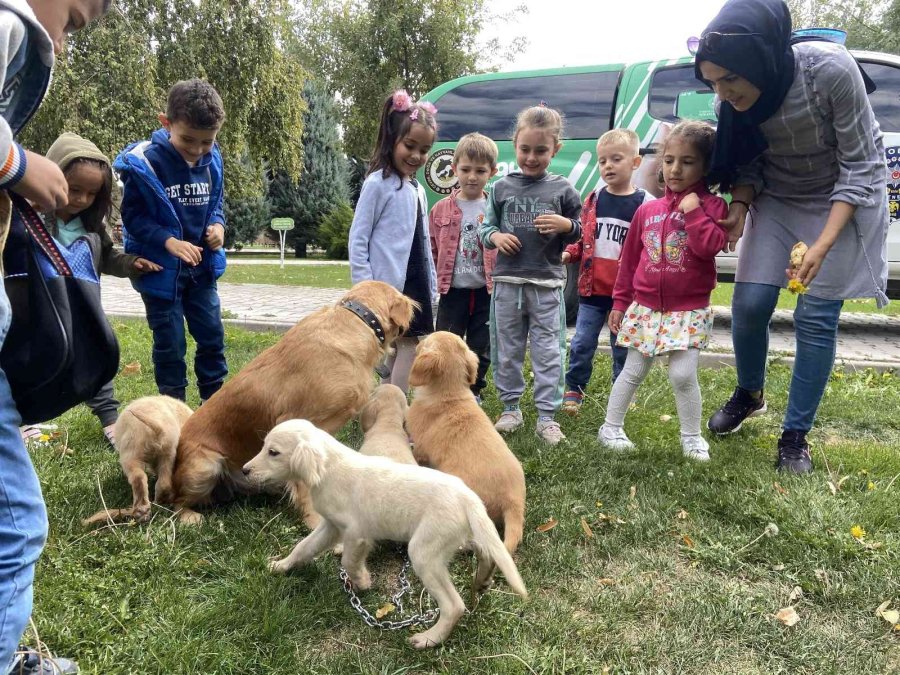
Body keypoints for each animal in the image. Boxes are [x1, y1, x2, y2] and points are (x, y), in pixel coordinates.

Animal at [82, 396, 193, 528]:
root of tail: (158, 428)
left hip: (130, 455)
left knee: (138, 477)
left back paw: (142, 510)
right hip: (168, 454)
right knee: (164, 483)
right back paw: (157, 503)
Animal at [246, 418, 528, 648]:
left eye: (273, 452)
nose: (245, 470)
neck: (329, 469)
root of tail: (467, 495)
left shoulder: (356, 532)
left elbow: (349, 560)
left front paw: (361, 581)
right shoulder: (331, 525)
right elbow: (303, 547)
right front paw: (280, 566)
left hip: (424, 551)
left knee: (454, 605)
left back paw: (429, 639)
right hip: (460, 536)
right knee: (486, 550)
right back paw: (482, 579)